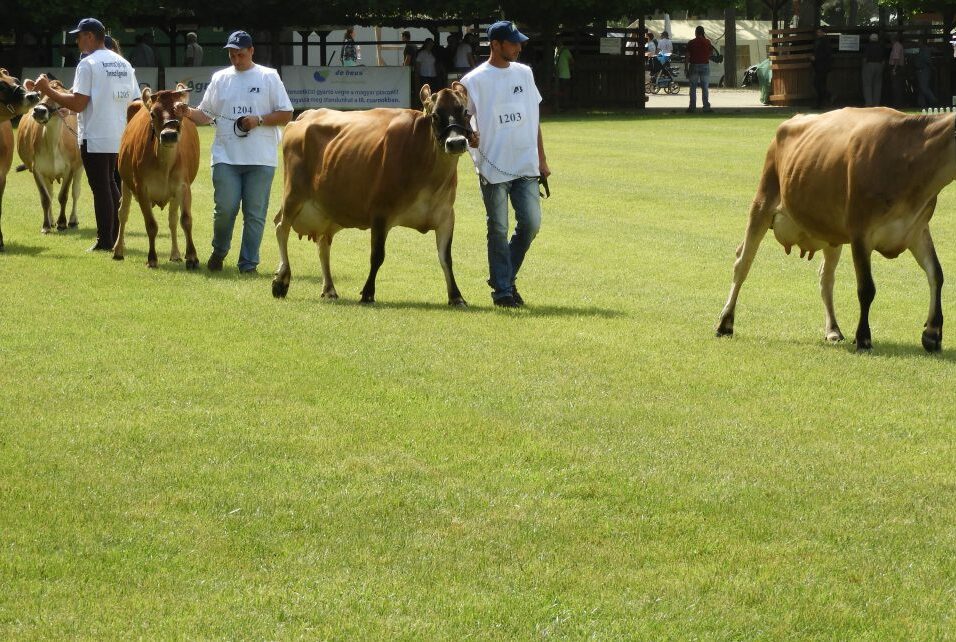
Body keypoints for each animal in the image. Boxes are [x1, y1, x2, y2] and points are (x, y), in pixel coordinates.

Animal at [16, 80, 84, 234]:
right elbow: (45, 198)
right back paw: (52, 220)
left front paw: (62, 223)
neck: (52, 145)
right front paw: (46, 225)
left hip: (79, 166)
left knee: (76, 192)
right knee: (51, 194)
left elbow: (64, 196)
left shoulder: (70, 168)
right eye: (39, 94)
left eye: (60, 98)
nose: (39, 110)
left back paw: (73, 220)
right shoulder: (37, 169)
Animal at [114, 83, 200, 268]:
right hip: (125, 182)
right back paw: (118, 250)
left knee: (173, 219)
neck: (163, 165)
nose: (169, 134)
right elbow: (151, 225)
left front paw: (192, 257)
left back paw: (175, 254)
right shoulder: (141, 188)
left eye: (181, 110)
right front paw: (152, 258)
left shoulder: (183, 186)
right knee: (123, 213)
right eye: (153, 113)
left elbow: (186, 220)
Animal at [272, 83, 470, 304]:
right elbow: (377, 256)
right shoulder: (380, 212)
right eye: (435, 115)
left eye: (465, 111)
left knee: (323, 243)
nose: (456, 142)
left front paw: (456, 296)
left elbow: (446, 258)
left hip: (331, 210)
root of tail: (305, 115)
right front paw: (368, 292)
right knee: (281, 228)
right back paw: (281, 280)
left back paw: (329, 288)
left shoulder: (446, 217)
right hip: (293, 195)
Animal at [716, 109, 956, 350]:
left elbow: (936, 274)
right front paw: (863, 338)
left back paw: (833, 330)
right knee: (742, 263)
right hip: (763, 201)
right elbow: (866, 288)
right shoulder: (860, 231)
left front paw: (932, 333)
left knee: (826, 277)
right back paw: (725, 322)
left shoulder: (917, 228)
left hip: (830, 231)